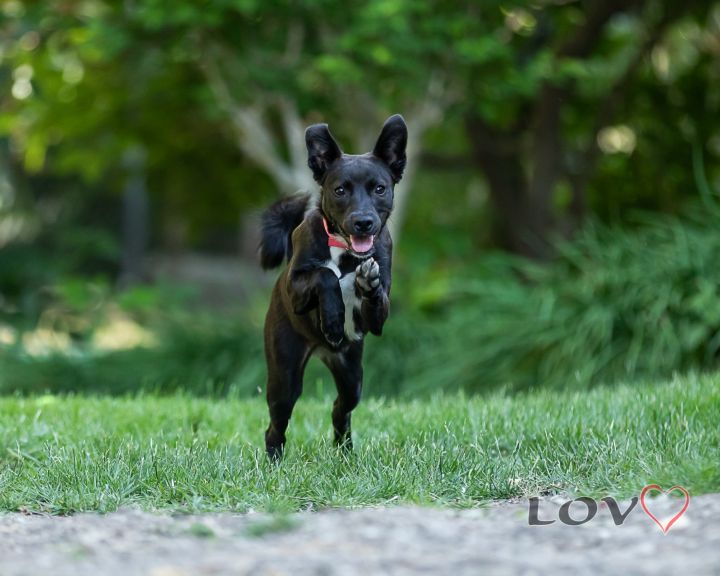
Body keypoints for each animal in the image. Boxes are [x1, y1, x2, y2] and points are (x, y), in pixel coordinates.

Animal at [258, 113, 408, 460]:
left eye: (379, 188)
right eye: (340, 190)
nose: (363, 222)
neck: (345, 250)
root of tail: (322, 350)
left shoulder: (378, 318)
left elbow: (374, 298)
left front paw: (367, 283)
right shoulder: (295, 287)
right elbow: (325, 275)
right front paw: (334, 319)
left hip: (352, 374)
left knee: (342, 407)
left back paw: (345, 450)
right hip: (284, 376)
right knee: (275, 425)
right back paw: (273, 460)